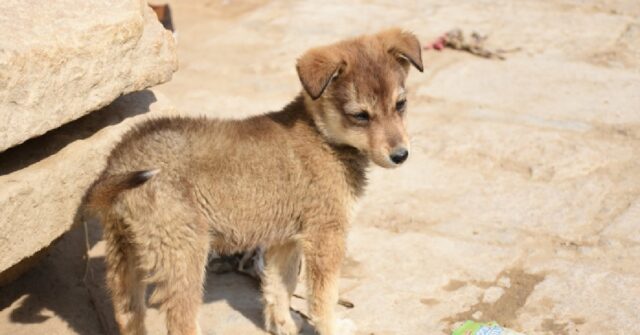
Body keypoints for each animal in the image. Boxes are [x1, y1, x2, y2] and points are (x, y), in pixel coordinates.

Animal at [86, 28, 424, 335]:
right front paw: (332, 327)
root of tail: (119, 161)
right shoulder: (325, 236)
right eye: (361, 116)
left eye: (400, 104)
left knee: (127, 315)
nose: (401, 155)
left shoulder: (285, 239)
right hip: (183, 254)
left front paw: (283, 325)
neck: (322, 134)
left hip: (124, 253)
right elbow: (324, 297)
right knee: (181, 323)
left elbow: (279, 286)